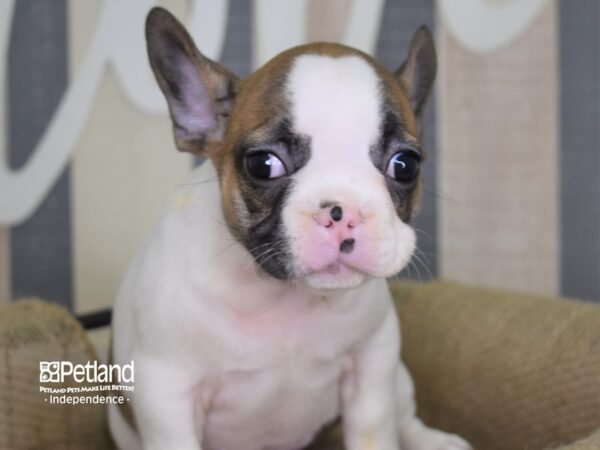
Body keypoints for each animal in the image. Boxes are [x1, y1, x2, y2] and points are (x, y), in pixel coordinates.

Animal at [110, 7, 472, 450]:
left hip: (397, 377)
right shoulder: (167, 394)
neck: (285, 299)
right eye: (263, 164)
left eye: (405, 165)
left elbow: (375, 427)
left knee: (406, 417)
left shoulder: (373, 365)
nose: (342, 210)